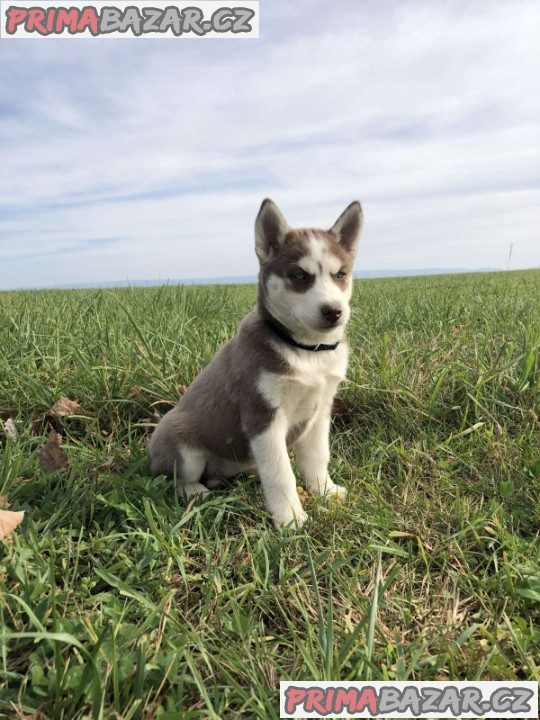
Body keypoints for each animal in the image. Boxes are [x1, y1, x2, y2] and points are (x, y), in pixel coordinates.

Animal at [149, 200, 362, 524]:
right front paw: (289, 516)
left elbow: (317, 457)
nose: (333, 311)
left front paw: (325, 491)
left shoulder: (321, 409)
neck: (307, 350)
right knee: (179, 477)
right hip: (180, 441)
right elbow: (280, 472)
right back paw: (197, 493)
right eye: (299, 276)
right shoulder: (263, 414)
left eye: (340, 274)